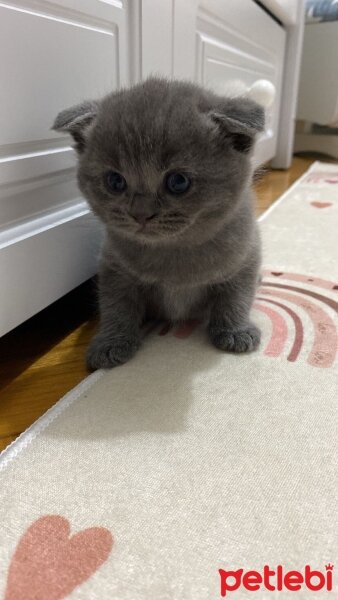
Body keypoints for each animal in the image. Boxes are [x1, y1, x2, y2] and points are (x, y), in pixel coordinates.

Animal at [52, 77, 264, 368]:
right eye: (115, 181)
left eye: (178, 182)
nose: (140, 214)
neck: (173, 254)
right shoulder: (114, 267)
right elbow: (116, 306)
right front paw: (112, 342)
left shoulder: (246, 258)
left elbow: (236, 297)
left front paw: (235, 331)